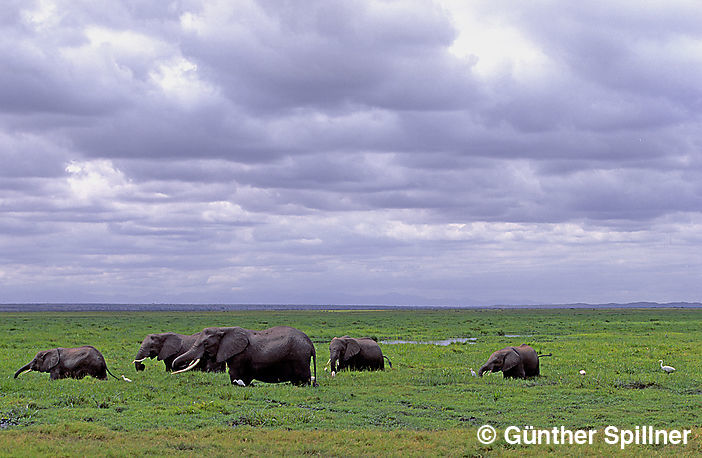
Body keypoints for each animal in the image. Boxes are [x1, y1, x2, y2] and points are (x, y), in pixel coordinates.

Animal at [172, 326, 318, 386]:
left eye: (206, 343)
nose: (174, 368)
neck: (224, 329)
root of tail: (311, 344)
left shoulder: (239, 355)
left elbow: (234, 373)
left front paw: (239, 384)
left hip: (300, 357)